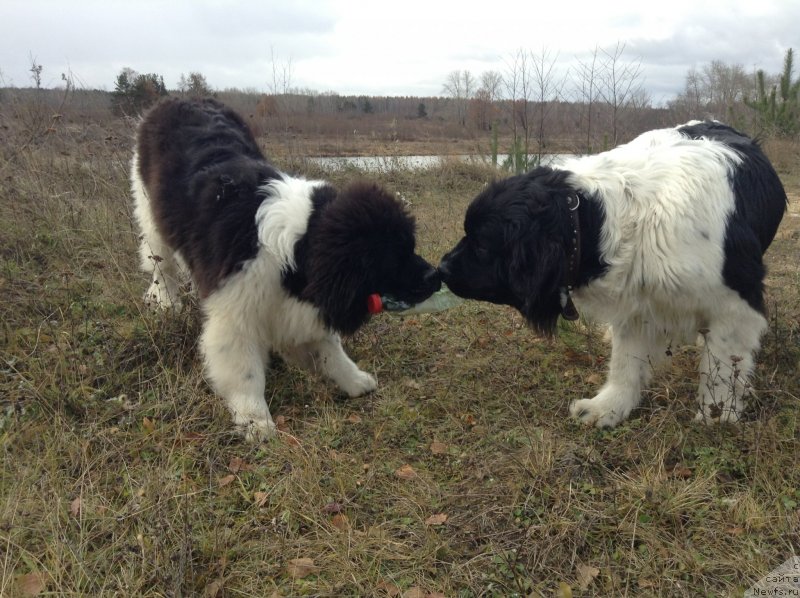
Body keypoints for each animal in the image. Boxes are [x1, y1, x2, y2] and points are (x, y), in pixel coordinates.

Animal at [440, 122, 784, 428]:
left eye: (481, 246)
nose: (442, 267)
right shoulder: (637, 302)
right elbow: (625, 362)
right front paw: (610, 407)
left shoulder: (736, 305)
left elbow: (722, 368)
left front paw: (718, 414)